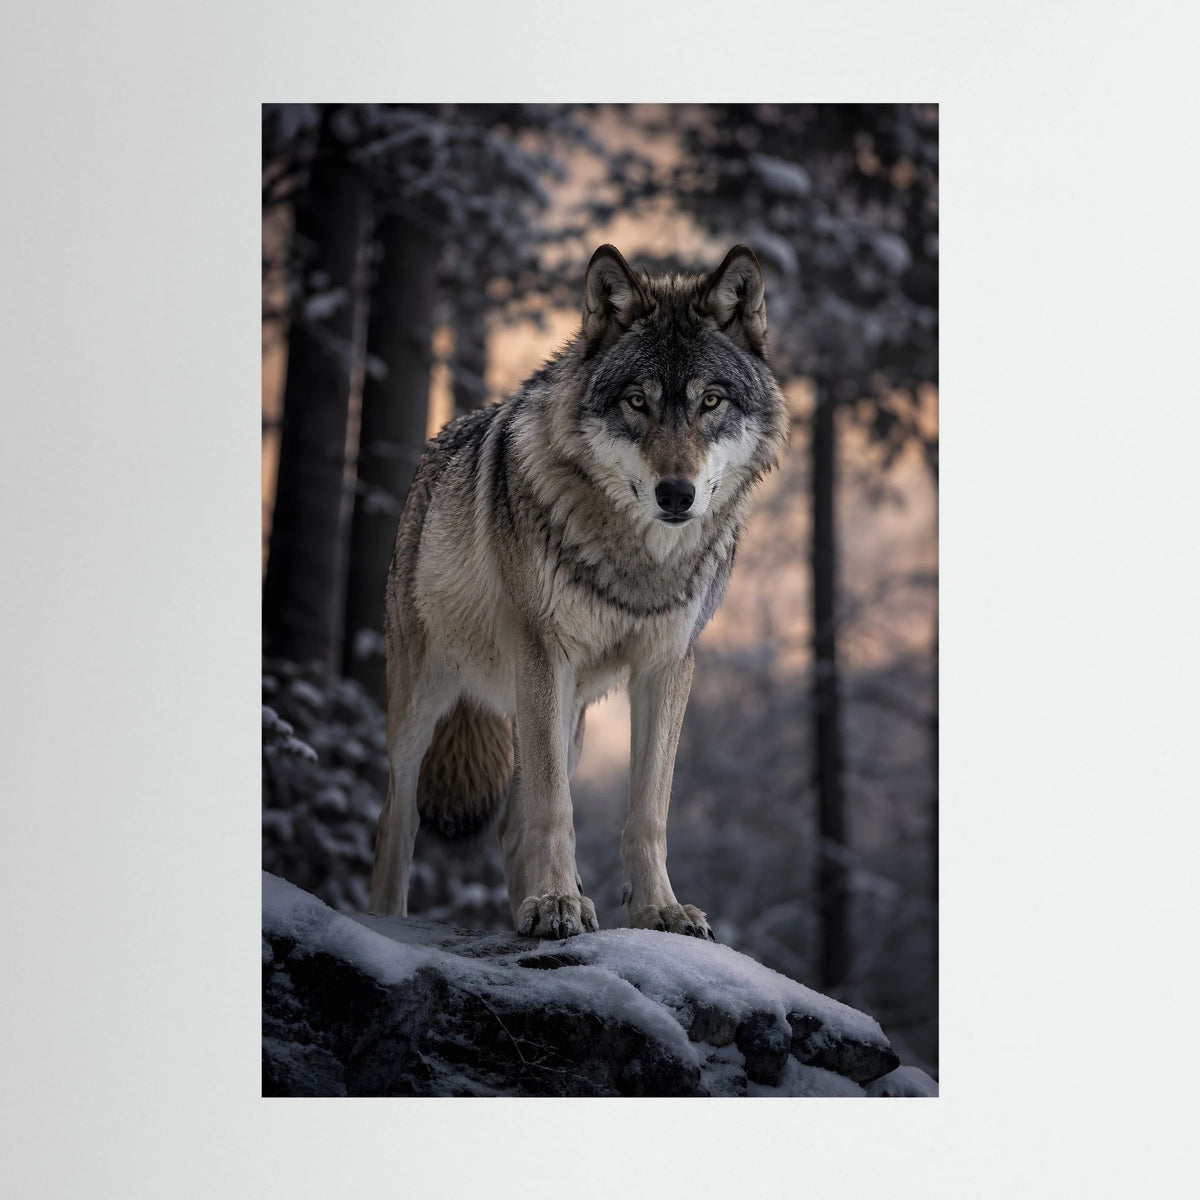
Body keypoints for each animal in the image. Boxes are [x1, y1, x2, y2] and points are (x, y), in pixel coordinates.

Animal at [368, 244, 788, 940]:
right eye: (637, 401)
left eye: (711, 401)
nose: (677, 494)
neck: (637, 559)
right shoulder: (544, 655)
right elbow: (555, 809)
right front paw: (556, 903)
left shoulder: (667, 666)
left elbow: (647, 813)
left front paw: (659, 910)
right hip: (428, 700)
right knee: (397, 817)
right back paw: (391, 922)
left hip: (569, 717)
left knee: (511, 827)